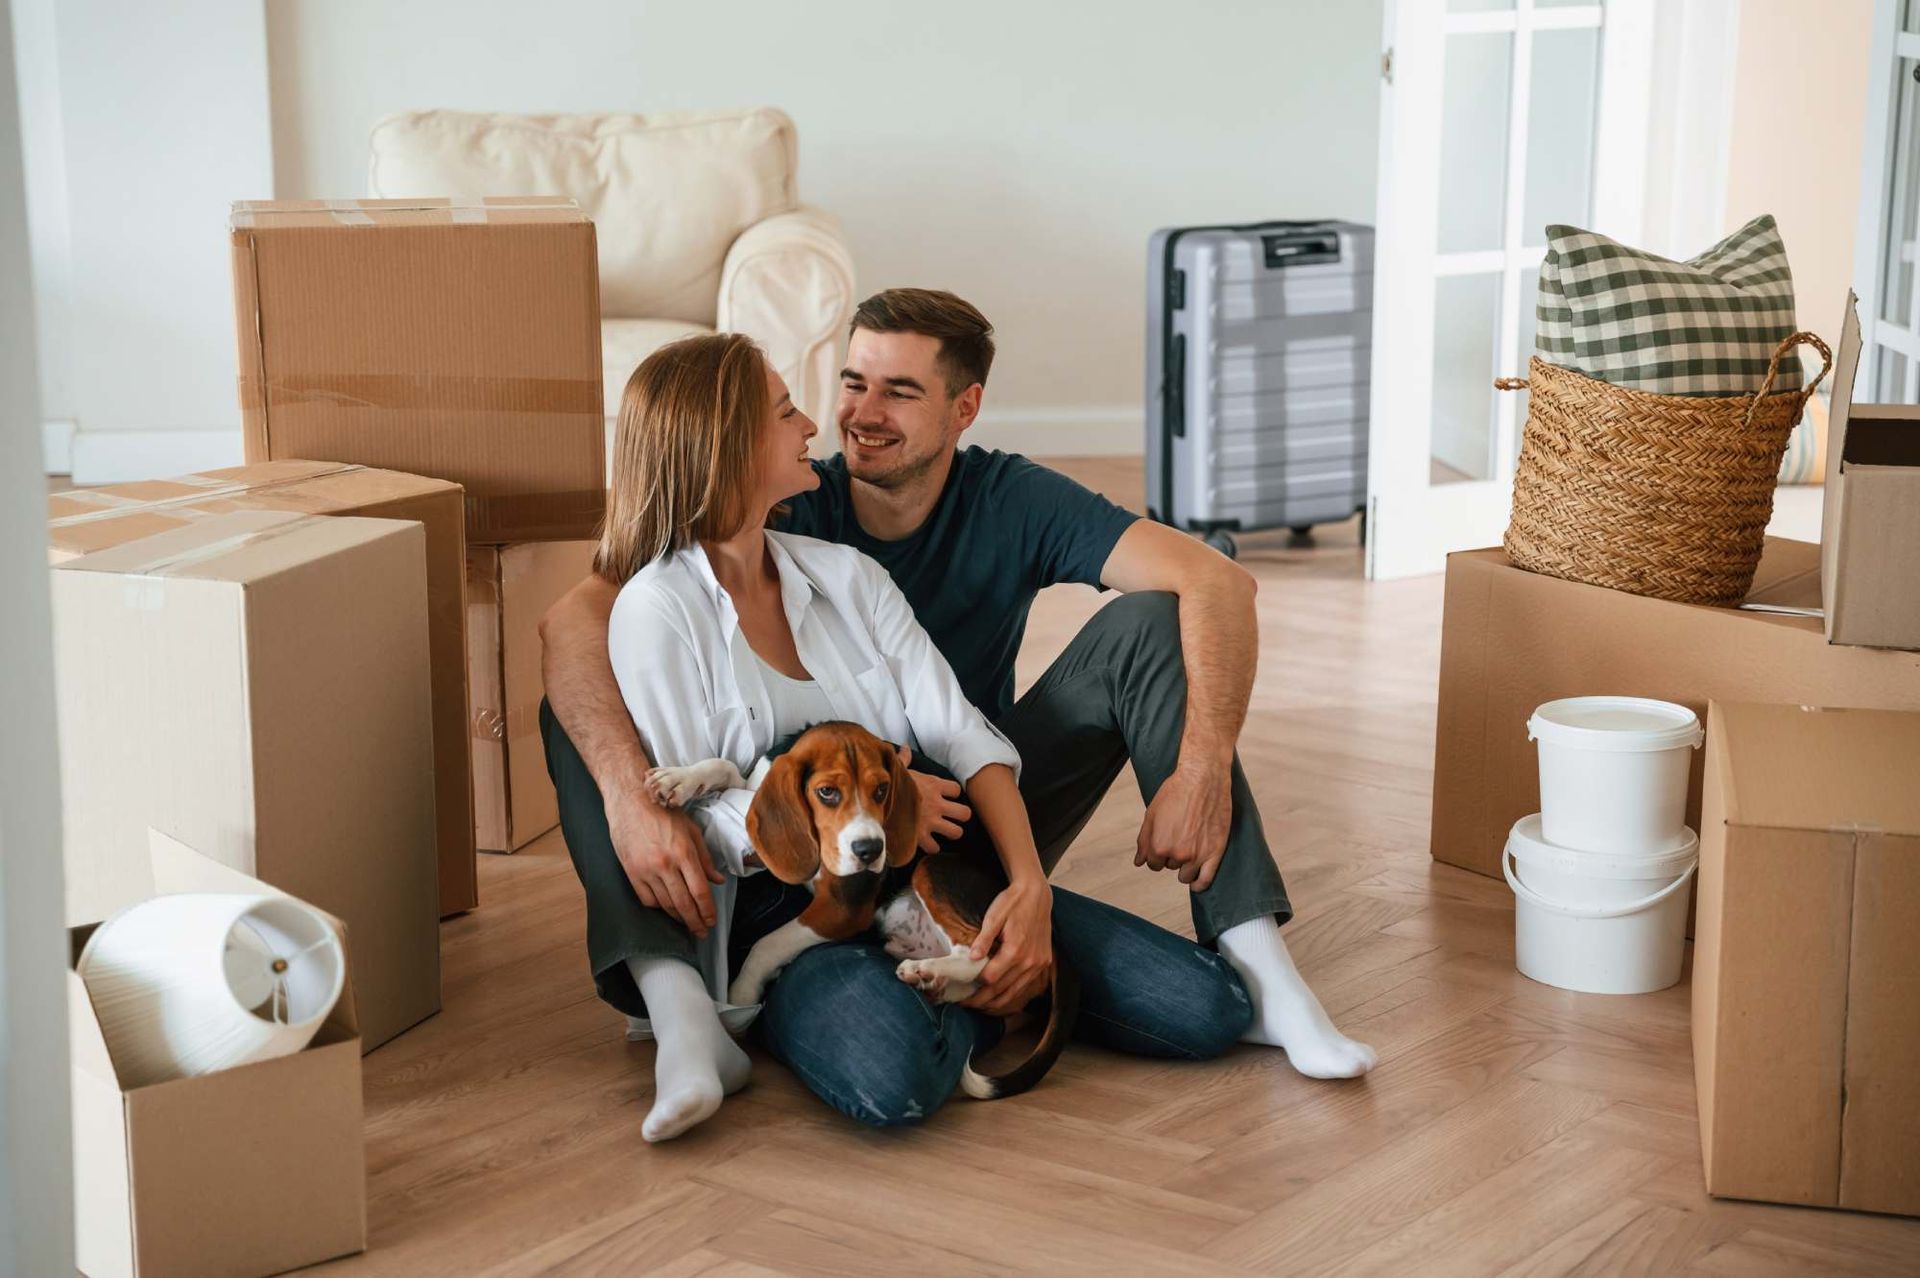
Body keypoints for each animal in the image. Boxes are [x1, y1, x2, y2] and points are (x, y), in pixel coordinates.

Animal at [648, 717, 1082, 1097]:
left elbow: (767, 945)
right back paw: (933, 981)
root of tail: (1050, 926)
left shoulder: (842, 906)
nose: (871, 851)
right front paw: (678, 780)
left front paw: (740, 994)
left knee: (979, 952)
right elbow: (726, 768)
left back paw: (926, 971)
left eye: (882, 790)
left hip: (935, 867)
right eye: (827, 792)